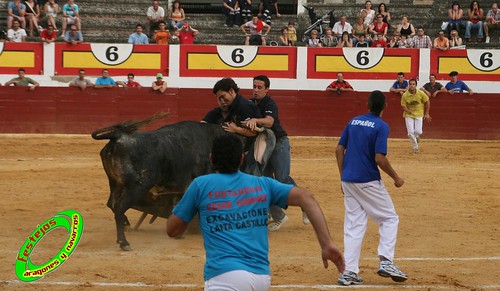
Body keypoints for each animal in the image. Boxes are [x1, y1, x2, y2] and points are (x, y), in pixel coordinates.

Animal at [92, 116, 276, 251]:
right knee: (119, 207)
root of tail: (117, 137)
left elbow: (178, 206)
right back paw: (124, 242)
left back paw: (124, 229)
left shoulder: (181, 188)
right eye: (243, 148)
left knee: (112, 204)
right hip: (137, 186)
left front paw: (179, 232)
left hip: (115, 183)